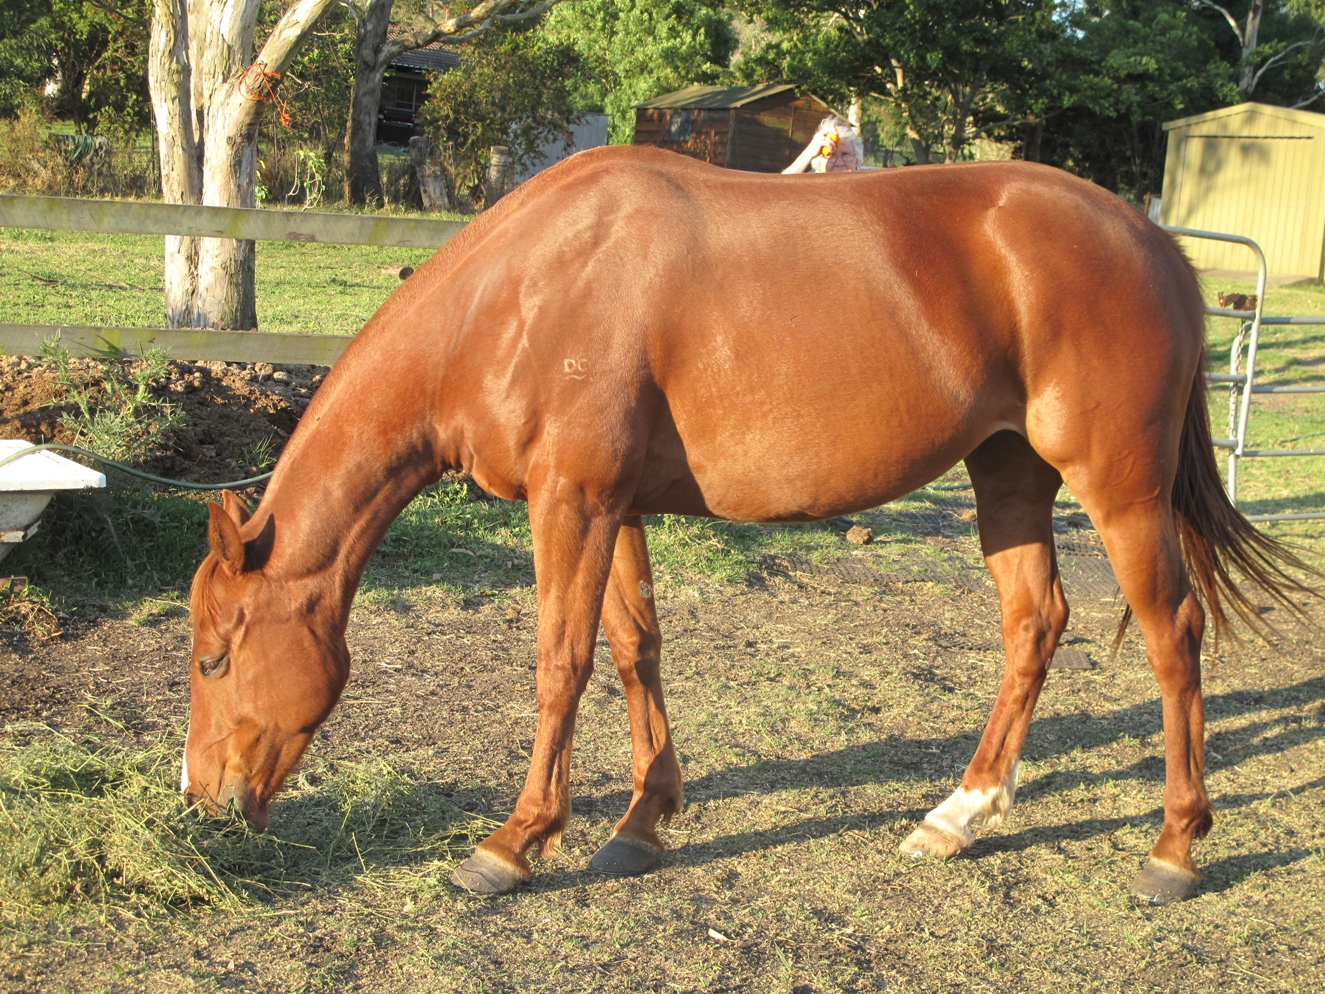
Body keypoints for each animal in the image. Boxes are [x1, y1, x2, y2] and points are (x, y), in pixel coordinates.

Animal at [185, 146, 1312, 906]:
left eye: (210, 657)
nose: (200, 800)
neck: (524, 294)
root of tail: (1151, 241)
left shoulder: (571, 503)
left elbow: (560, 662)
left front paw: (513, 842)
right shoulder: (616, 507)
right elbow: (633, 648)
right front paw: (640, 825)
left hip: (1119, 492)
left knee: (1171, 638)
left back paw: (1172, 848)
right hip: (1008, 476)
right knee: (1033, 622)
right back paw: (958, 816)